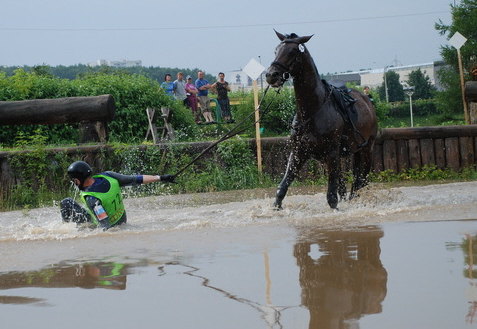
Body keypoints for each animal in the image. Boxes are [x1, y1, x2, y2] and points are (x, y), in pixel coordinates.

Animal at [264, 31, 376, 210]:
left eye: (293, 51)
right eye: (276, 50)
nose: (271, 75)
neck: (313, 111)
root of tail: (367, 101)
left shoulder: (331, 153)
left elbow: (332, 196)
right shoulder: (298, 152)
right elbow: (283, 186)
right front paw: (277, 206)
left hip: (366, 150)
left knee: (361, 180)